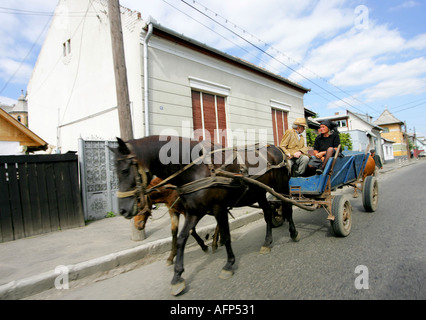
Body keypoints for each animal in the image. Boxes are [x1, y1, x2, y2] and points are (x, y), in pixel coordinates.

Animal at [110, 134, 298, 296]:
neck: (196, 169)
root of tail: (277, 149)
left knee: (287, 207)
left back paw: (293, 232)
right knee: (267, 213)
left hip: (281, 186)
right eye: (116, 172)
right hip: (259, 193)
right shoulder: (193, 212)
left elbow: (226, 235)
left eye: (125, 170)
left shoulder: (219, 208)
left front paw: (228, 264)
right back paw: (267, 242)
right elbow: (182, 237)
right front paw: (177, 276)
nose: (123, 210)